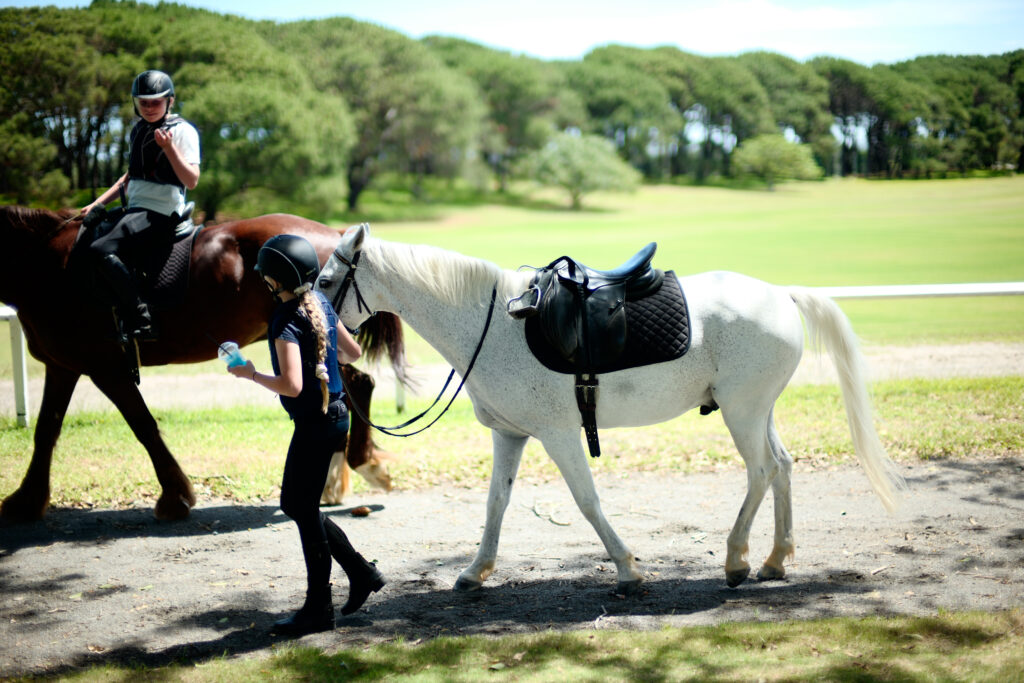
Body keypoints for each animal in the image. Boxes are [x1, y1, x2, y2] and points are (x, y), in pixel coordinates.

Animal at [0, 205, 403, 520]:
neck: (47, 265)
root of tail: (333, 234)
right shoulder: (64, 365)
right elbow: (46, 428)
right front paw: (26, 501)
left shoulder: (105, 368)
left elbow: (143, 426)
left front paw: (175, 496)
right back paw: (337, 477)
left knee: (356, 384)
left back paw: (361, 466)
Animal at [317, 227, 905, 593]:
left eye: (325, 280)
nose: (320, 331)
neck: (496, 323)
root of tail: (781, 295)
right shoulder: (510, 435)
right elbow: (495, 505)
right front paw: (474, 572)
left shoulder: (558, 435)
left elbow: (586, 501)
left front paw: (626, 570)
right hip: (759, 411)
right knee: (781, 468)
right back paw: (775, 560)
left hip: (742, 413)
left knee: (760, 472)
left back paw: (737, 558)